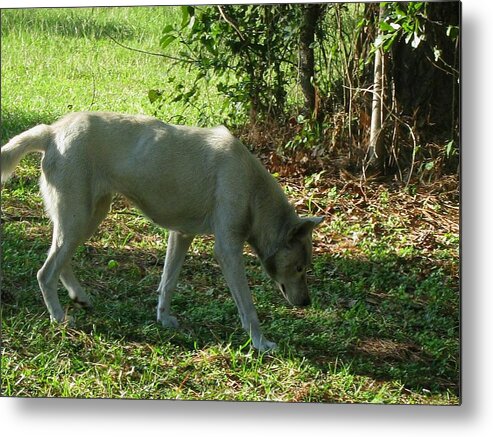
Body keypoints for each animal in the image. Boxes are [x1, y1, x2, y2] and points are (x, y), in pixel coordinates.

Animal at [0, 111, 322, 350]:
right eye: (300, 268)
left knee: (59, 261)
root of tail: (53, 131)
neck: (253, 191)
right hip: (78, 220)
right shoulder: (227, 251)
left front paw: (163, 319)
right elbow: (248, 307)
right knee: (45, 272)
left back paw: (78, 297)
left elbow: (167, 284)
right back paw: (58, 317)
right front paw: (260, 342)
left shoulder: (181, 236)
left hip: (86, 219)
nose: (307, 303)